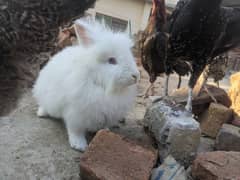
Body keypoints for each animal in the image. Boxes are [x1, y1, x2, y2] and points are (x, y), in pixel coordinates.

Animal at [32, 19, 140, 151]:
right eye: (112, 60)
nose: (136, 75)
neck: (101, 86)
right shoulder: (75, 114)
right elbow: (75, 130)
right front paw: (79, 146)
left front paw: (105, 132)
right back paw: (41, 113)